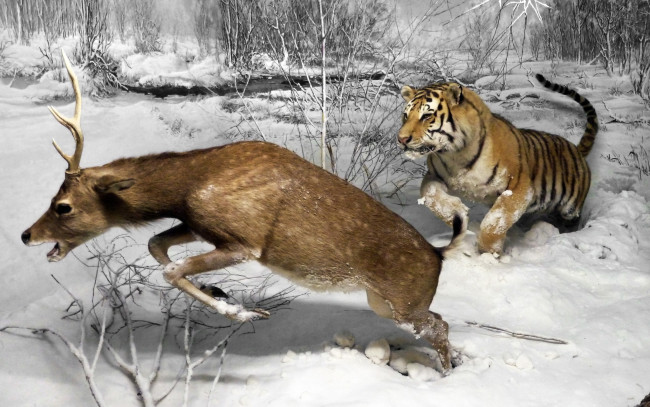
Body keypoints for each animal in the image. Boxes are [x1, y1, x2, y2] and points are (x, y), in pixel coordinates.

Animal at [21, 51, 465, 372]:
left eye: (62, 206)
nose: (27, 235)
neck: (191, 183)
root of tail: (438, 255)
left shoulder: (245, 241)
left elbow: (170, 270)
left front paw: (244, 311)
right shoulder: (198, 223)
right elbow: (156, 245)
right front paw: (220, 290)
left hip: (403, 302)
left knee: (440, 324)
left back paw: (444, 374)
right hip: (383, 301)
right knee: (438, 321)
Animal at [397, 74, 598, 255]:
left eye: (426, 116)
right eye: (405, 116)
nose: (401, 139)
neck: (455, 154)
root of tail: (577, 149)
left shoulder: (519, 187)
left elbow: (495, 220)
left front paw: (489, 253)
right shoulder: (433, 175)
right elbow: (429, 194)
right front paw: (458, 213)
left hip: (570, 208)